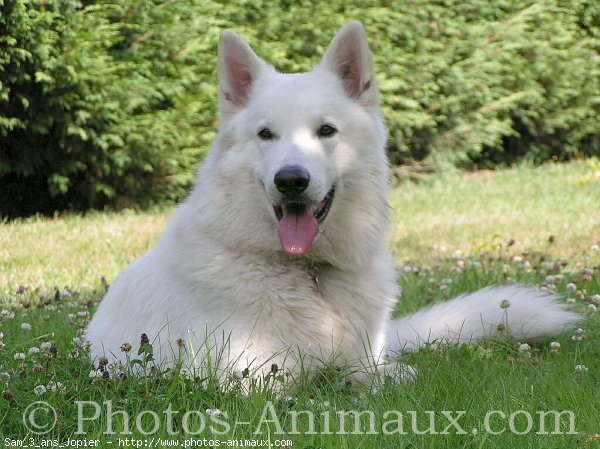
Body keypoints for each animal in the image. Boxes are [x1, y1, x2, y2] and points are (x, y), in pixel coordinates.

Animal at [84, 21, 576, 382]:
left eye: (326, 131)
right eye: (266, 134)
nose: (290, 181)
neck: (310, 274)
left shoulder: (373, 363)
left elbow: (387, 375)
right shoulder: (245, 379)